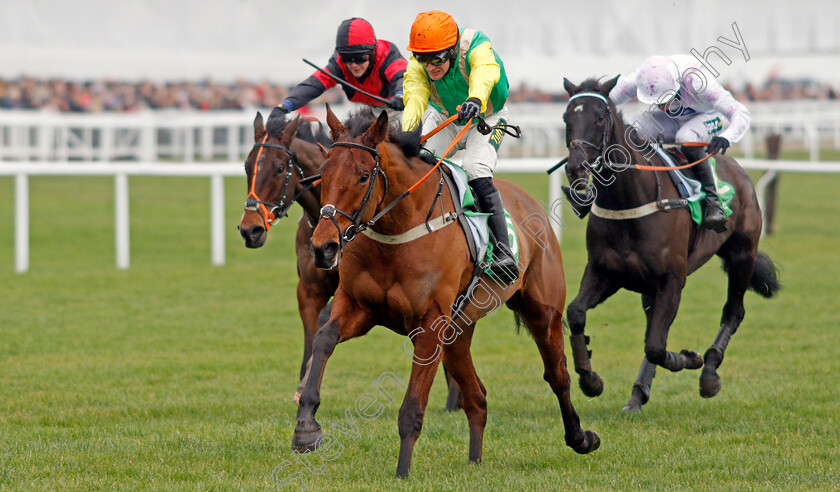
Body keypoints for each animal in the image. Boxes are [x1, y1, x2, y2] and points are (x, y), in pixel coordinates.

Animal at [238, 112, 336, 400]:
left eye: (281, 168)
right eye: (247, 167)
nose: (250, 230)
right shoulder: (308, 289)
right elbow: (312, 332)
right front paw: (303, 384)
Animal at [298, 106, 600, 476]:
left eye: (363, 175)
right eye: (323, 174)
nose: (323, 247)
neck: (398, 230)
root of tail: (527, 200)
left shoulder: (430, 326)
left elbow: (412, 408)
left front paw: (402, 473)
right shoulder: (359, 306)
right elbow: (324, 339)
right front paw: (306, 427)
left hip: (543, 312)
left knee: (557, 375)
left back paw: (581, 437)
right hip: (458, 333)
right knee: (477, 397)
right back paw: (475, 460)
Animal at [556, 78, 780, 412]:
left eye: (599, 117)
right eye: (566, 118)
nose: (576, 168)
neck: (630, 202)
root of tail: (736, 169)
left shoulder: (672, 279)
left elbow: (656, 346)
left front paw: (689, 358)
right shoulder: (604, 271)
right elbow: (576, 314)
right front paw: (590, 379)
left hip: (742, 254)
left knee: (733, 312)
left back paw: (709, 372)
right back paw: (637, 394)